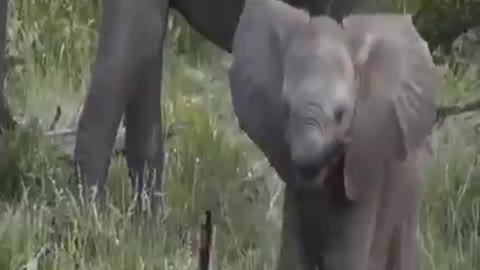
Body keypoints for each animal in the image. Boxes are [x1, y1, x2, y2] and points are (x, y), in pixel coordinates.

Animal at [228, 0, 438, 270]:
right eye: (285, 109)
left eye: (341, 114)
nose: (342, 143)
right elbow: (292, 255)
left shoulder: (366, 170)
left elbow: (343, 257)